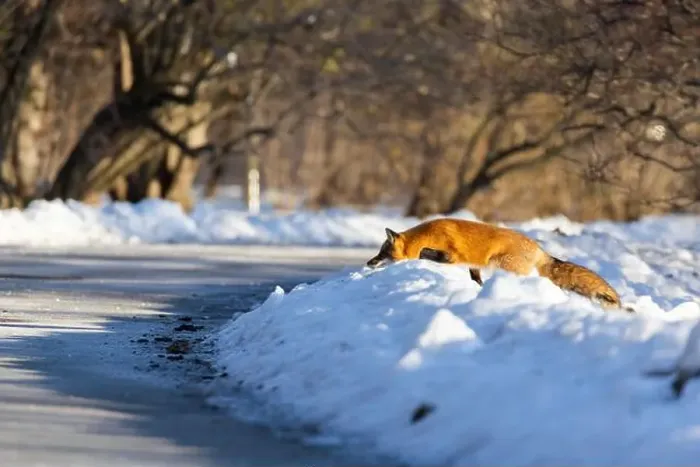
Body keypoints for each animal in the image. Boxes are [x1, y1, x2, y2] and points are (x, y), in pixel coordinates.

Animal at [366, 217, 624, 310]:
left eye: (382, 252)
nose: (368, 263)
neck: (425, 235)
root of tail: (540, 250)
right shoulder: (474, 265)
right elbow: (475, 278)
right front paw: (478, 290)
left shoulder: (453, 255)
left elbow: (424, 255)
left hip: (501, 263)